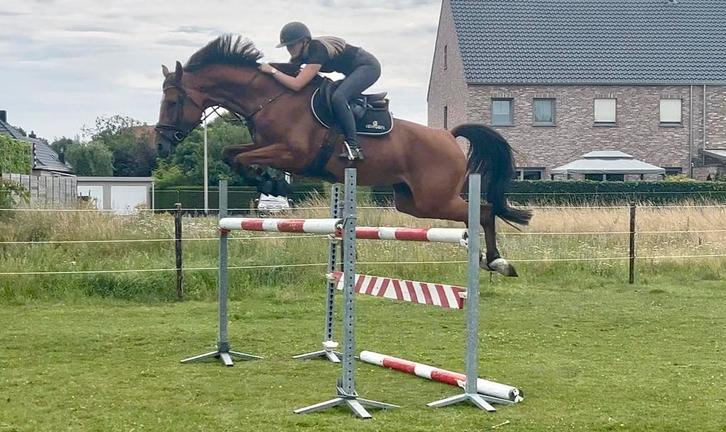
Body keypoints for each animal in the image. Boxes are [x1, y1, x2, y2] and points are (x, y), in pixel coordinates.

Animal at [155, 34, 532, 276]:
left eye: (172, 102)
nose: (160, 145)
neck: (270, 99)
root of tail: (446, 134)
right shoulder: (264, 147)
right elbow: (230, 153)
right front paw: (269, 184)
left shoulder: (293, 154)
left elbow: (244, 159)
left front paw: (274, 185)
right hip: (411, 202)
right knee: (473, 213)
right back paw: (485, 258)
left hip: (434, 197)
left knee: (482, 211)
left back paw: (497, 261)